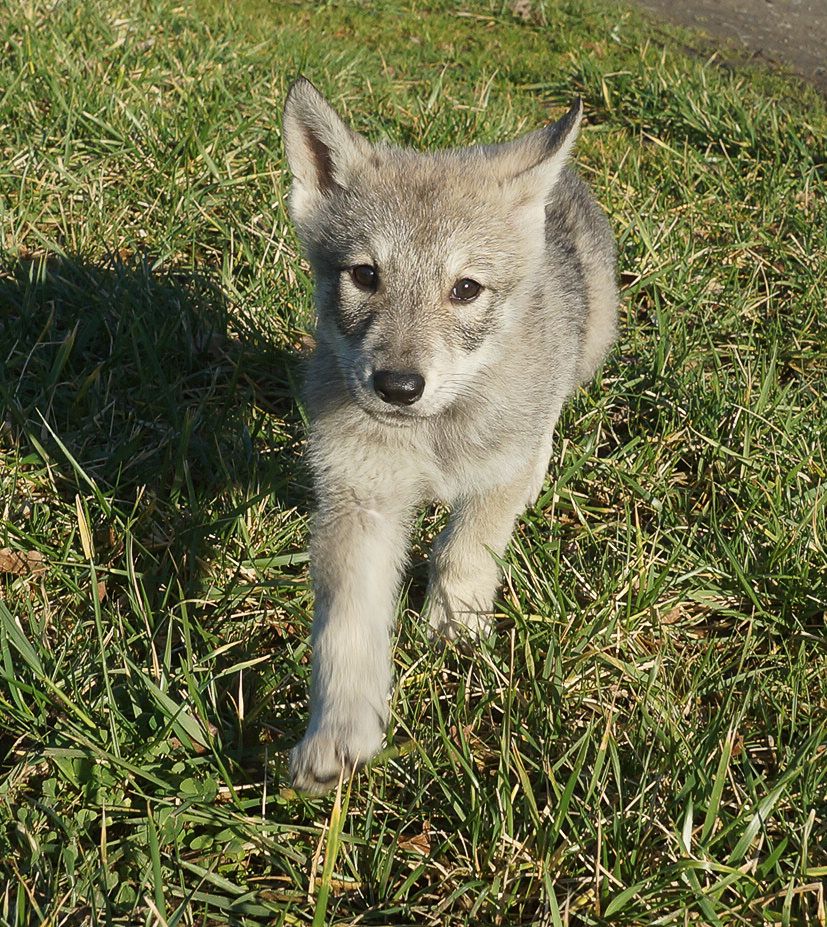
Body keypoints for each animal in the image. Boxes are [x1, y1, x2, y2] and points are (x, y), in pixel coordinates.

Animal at [282, 78, 616, 796]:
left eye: (465, 289)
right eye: (365, 276)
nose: (398, 386)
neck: (433, 437)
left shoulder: (493, 476)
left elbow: (465, 551)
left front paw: (456, 625)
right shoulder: (361, 497)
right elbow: (346, 628)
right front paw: (337, 732)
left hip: (586, 352)